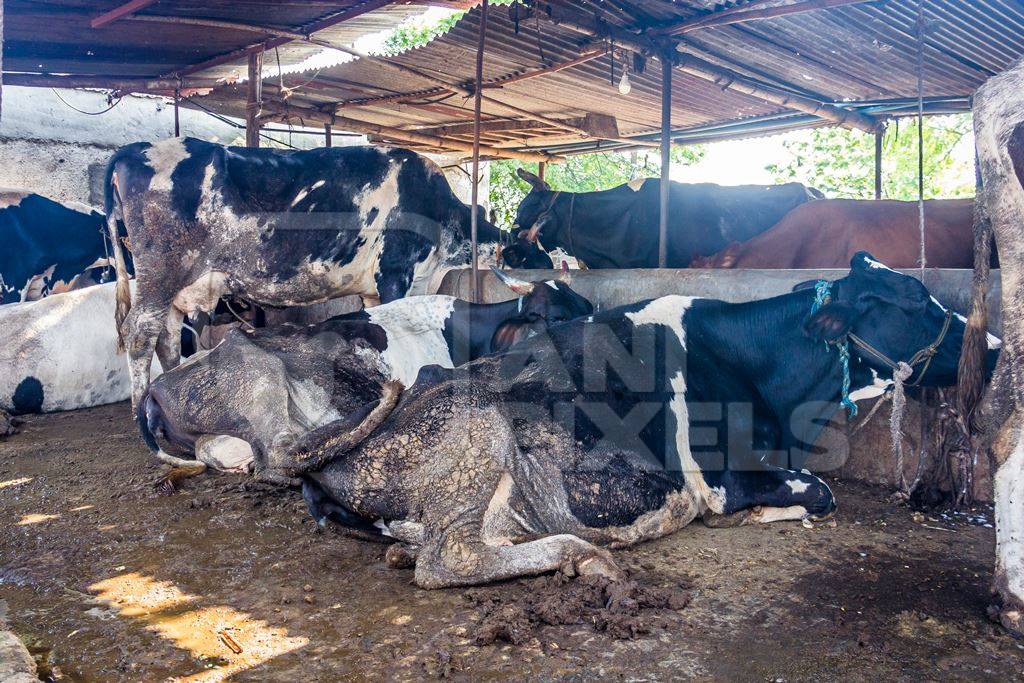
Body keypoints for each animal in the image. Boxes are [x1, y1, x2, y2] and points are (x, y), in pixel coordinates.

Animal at [103, 136, 503, 409]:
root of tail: (136, 149)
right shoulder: (395, 271)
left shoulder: (382, 287)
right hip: (161, 274)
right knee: (139, 334)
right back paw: (140, 412)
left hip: (176, 288)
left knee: (167, 338)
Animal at [292, 250, 995, 589]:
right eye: (915, 301)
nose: (989, 347)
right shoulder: (725, 479)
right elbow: (819, 492)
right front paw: (767, 513)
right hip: (481, 430)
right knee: (447, 559)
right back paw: (579, 554)